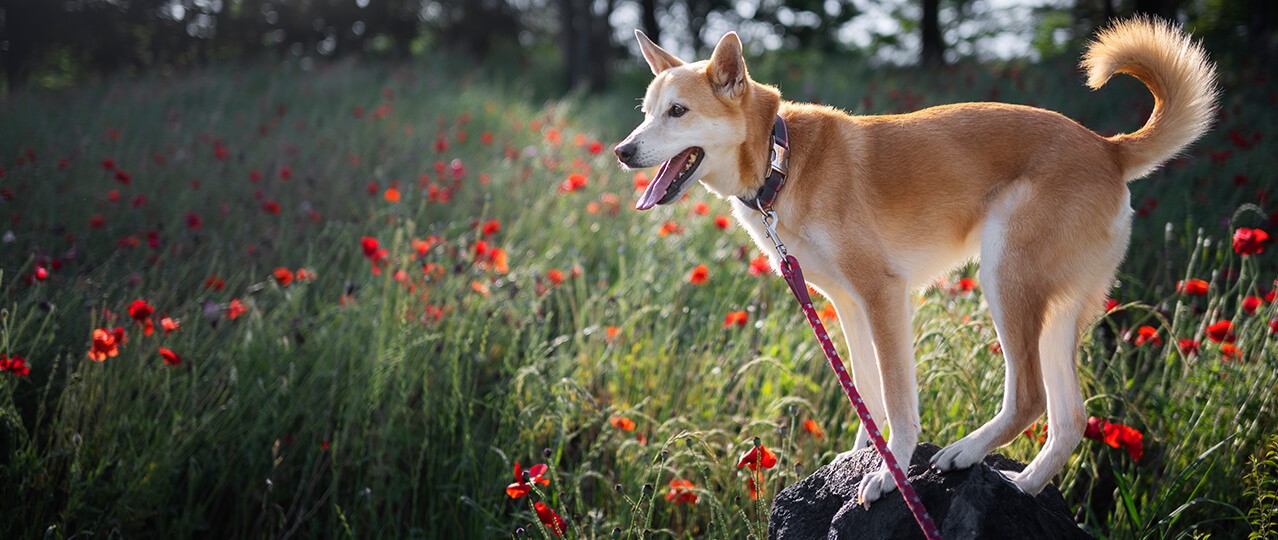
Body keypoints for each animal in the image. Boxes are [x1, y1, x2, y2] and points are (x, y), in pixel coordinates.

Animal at [613, 17, 1211, 508]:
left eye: (678, 112)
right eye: (645, 114)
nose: (621, 150)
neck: (781, 159)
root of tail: (1107, 147)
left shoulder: (883, 295)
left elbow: (898, 402)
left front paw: (889, 472)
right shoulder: (847, 305)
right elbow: (867, 395)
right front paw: (862, 455)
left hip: (1005, 279)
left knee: (1030, 397)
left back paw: (966, 452)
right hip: (1058, 311)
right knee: (1070, 419)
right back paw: (1027, 485)